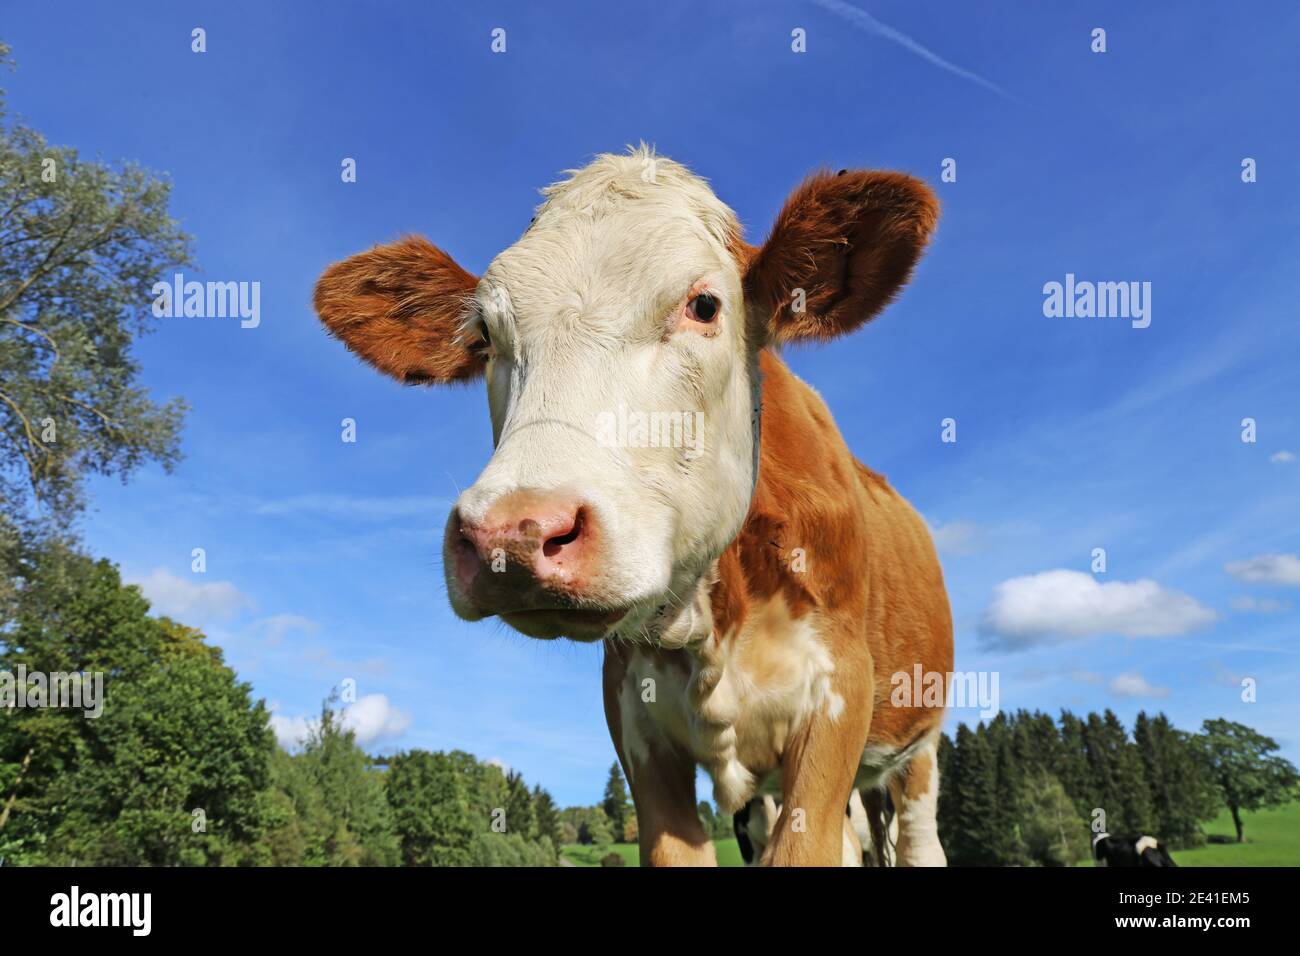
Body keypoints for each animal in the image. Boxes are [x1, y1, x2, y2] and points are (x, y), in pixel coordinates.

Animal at [309, 147, 951, 868]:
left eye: (704, 304)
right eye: (485, 333)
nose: (513, 533)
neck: (713, 621)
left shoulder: (838, 696)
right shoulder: (635, 723)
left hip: (917, 746)